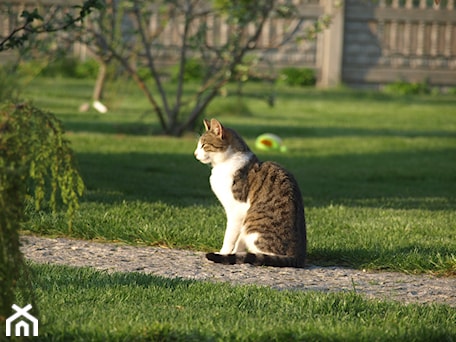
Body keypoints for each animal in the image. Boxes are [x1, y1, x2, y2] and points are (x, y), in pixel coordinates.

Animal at [193, 119, 306, 268]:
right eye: (198, 145)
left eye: (204, 145)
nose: (195, 154)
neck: (224, 164)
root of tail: (298, 256)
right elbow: (239, 242)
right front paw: (234, 254)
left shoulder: (237, 210)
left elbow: (229, 237)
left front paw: (224, 253)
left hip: (252, 226)